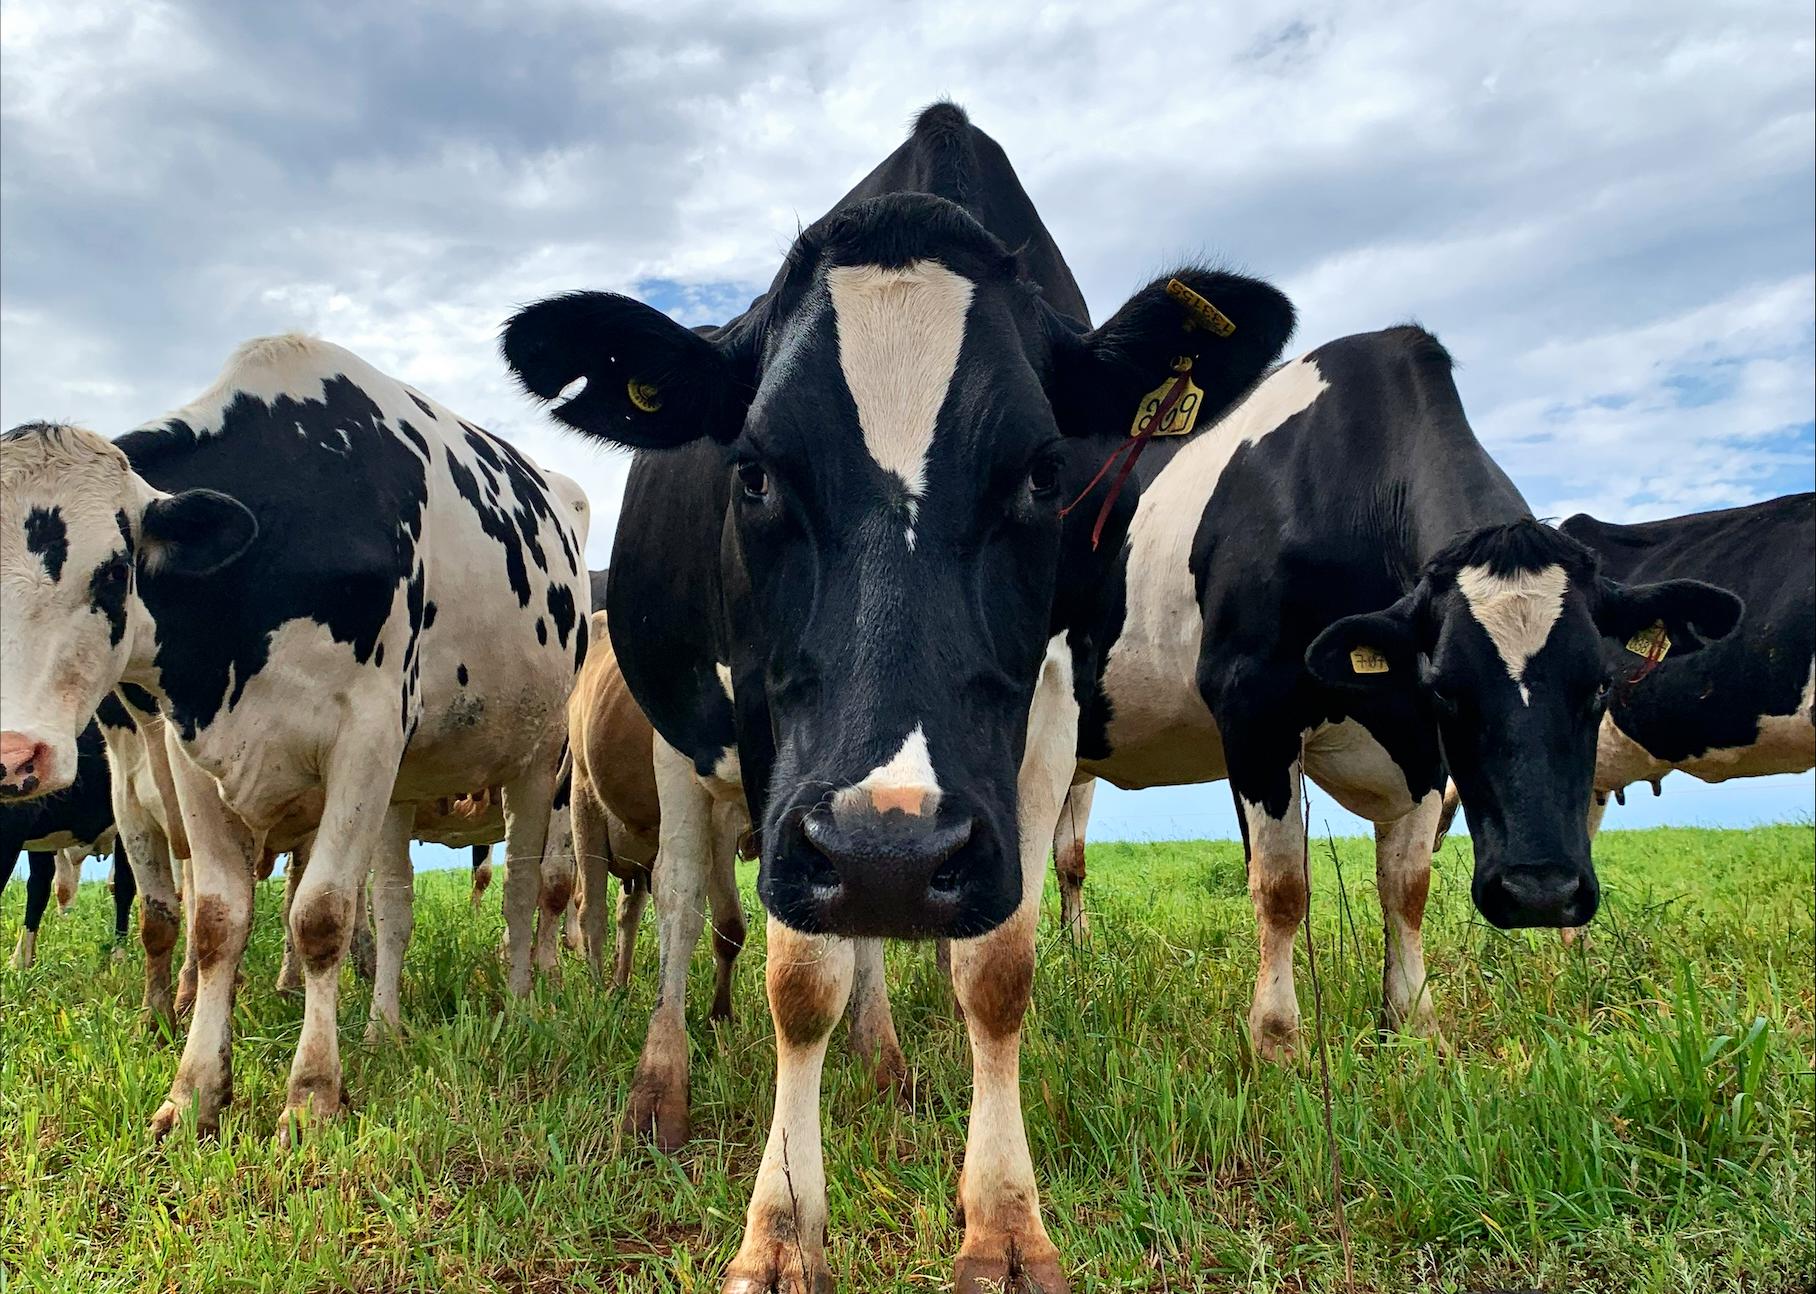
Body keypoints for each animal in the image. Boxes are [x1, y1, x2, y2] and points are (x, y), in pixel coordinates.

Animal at [0, 335, 588, 1139]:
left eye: (115, 571)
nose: (11, 754)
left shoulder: (366, 738)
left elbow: (321, 916)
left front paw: (311, 1096)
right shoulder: (191, 753)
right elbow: (217, 921)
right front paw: (194, 1092)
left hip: (538, 756)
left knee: (526, 889)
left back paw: (524, 1002)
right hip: (406, 785)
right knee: (396, 903)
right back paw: (384, 1029)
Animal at [504, 98, 1300, 1292]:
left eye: (1044, 471)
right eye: (753, 471)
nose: (888, 848)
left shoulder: (1040, 717)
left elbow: (997, 967)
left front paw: (1005, 1224)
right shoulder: (772, 741)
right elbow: (796, 975)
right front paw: (781, 1228)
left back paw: (880, 1057)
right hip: (685, 741)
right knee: (684, 904)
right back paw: (662, 1084)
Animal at [1060, 324, 1743, 1059]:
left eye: (1601, 686)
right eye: (1448, 690)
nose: (1539, 892)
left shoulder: (1419, 745)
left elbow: (1406, 885)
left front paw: (1414, 1028)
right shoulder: (1253, 704)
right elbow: (1281, 886)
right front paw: (1277, 1042)